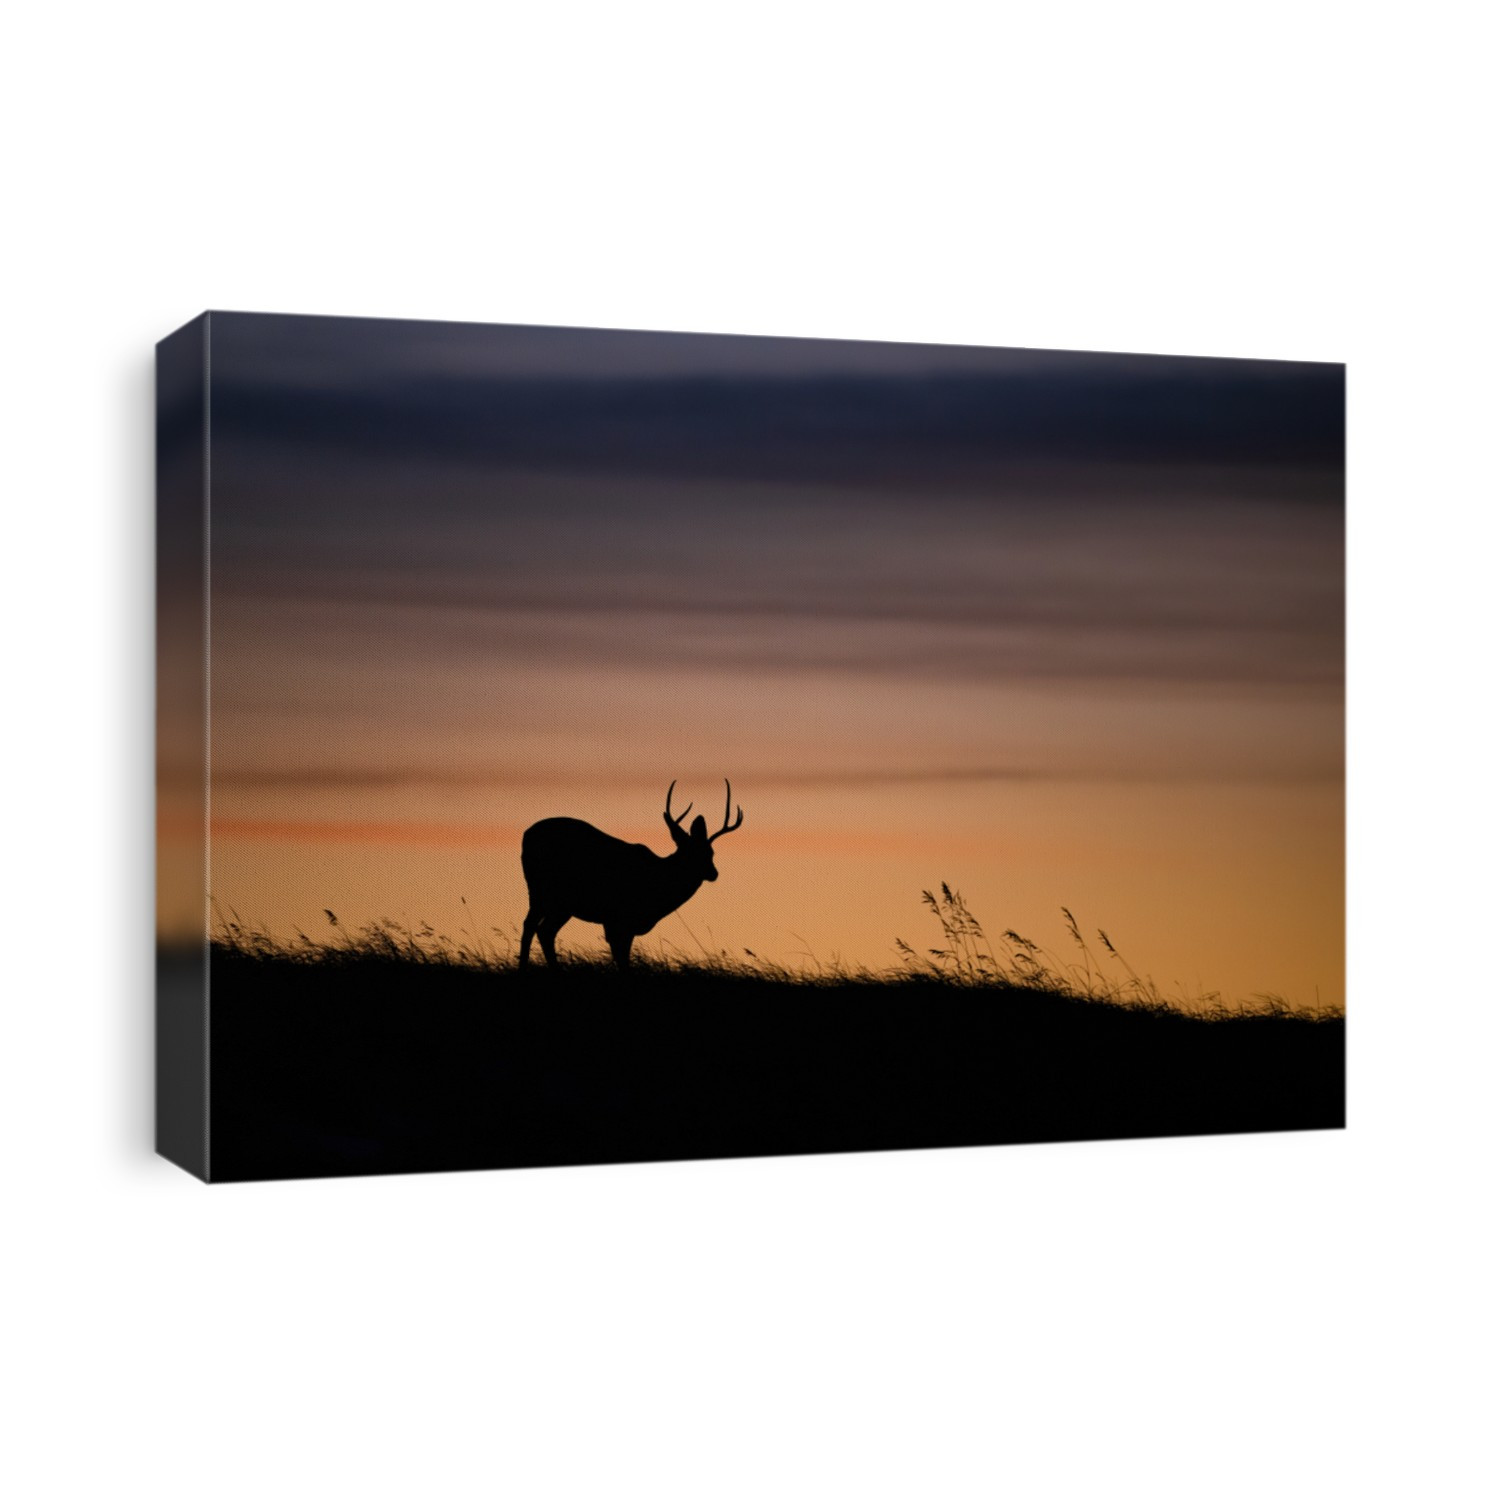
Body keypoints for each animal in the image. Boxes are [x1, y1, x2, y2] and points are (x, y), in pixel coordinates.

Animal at [519, 780, 745, 971]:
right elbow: (622, 960)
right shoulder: (618, 918)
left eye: (711, 852)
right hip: (547, 892)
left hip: (555, 900)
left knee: (543, 930)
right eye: (691, 853)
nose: (713, 873)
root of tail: (526, 836)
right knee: (535, 927)